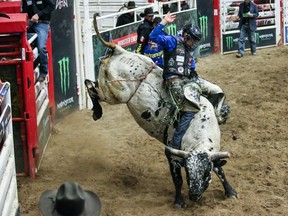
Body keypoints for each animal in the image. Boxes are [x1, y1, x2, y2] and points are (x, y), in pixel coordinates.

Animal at [84, 13, 237, 208]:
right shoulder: (171, 154)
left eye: (204, 173)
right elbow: (177, 179)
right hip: (115, 93)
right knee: (91, 87)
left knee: (91, 83)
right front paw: (179, 201)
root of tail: (120, 51)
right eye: (189, 171)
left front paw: (230, 191)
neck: (198, 128)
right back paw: (97, 111)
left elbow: (220, 170)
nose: (194, 195)